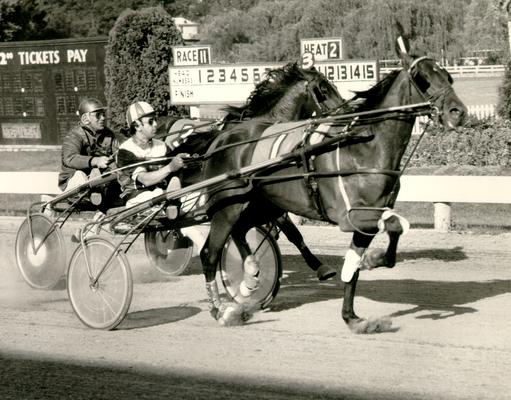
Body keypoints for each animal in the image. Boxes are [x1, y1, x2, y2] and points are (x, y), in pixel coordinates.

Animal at [199, 39, 468, 330]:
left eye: (448, 76)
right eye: (423, 78)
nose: (458, 112)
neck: (364, 146)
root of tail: (221, 138)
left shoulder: (369, 218)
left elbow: (356, 265)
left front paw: (352, 316)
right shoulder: (350, 216)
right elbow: (397, 225)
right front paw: (372, 260)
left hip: (260, 205)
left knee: (241, 230)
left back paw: (249, 277)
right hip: (229, 207)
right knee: (209, 254)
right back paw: (221, 310)